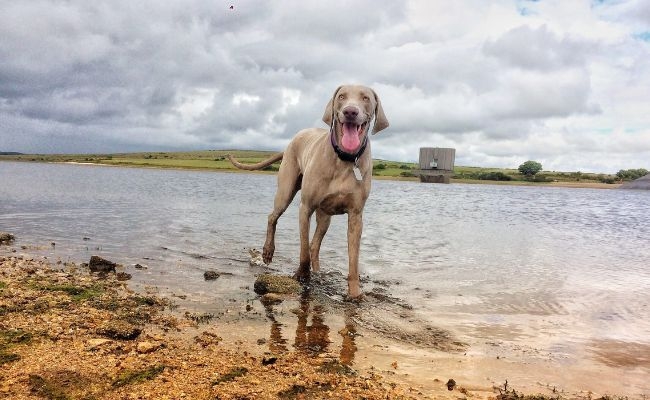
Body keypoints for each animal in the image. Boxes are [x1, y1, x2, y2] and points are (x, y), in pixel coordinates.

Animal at [228, 83, 388, 296]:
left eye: (365, 98)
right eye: (342, 97)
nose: (350, 112)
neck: (345, 159)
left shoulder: (356, 216)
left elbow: (353, 260)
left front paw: (355, 293)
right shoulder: (306, 207)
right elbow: (303, 250)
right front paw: (302, 276)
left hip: (325, 216)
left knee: (315, 246)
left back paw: (318, 271)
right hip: (285, 190)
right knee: (273, 217)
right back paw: (268, 251)